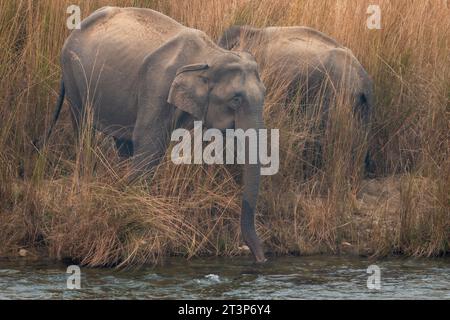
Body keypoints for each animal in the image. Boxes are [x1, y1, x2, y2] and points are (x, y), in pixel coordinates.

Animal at [46, 7, 268, 262]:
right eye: (236, 99)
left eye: (264, 93)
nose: (262, 259)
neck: (209, 56)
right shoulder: (157, 86)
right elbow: (149, 147)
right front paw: (133, 214)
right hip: (73, 76)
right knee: (84, 130)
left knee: (123, 142)